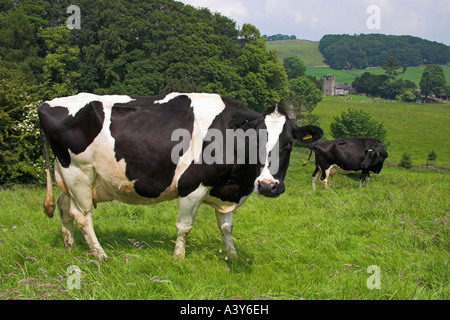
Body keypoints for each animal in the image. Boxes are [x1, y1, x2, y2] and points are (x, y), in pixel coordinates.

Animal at [37, 90, 322, 260]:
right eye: (255, 141)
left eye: (288, 144)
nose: (267, 185)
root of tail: (48, 103)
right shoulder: (192, 185)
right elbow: (184, 226)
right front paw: (179, 258)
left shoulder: (224, 191)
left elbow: (226, 227)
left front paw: (232, 256)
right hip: (79, 172)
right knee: (82, 216)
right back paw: (100, 255)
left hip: (66, 177)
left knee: (64, 209)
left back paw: (70, 247)